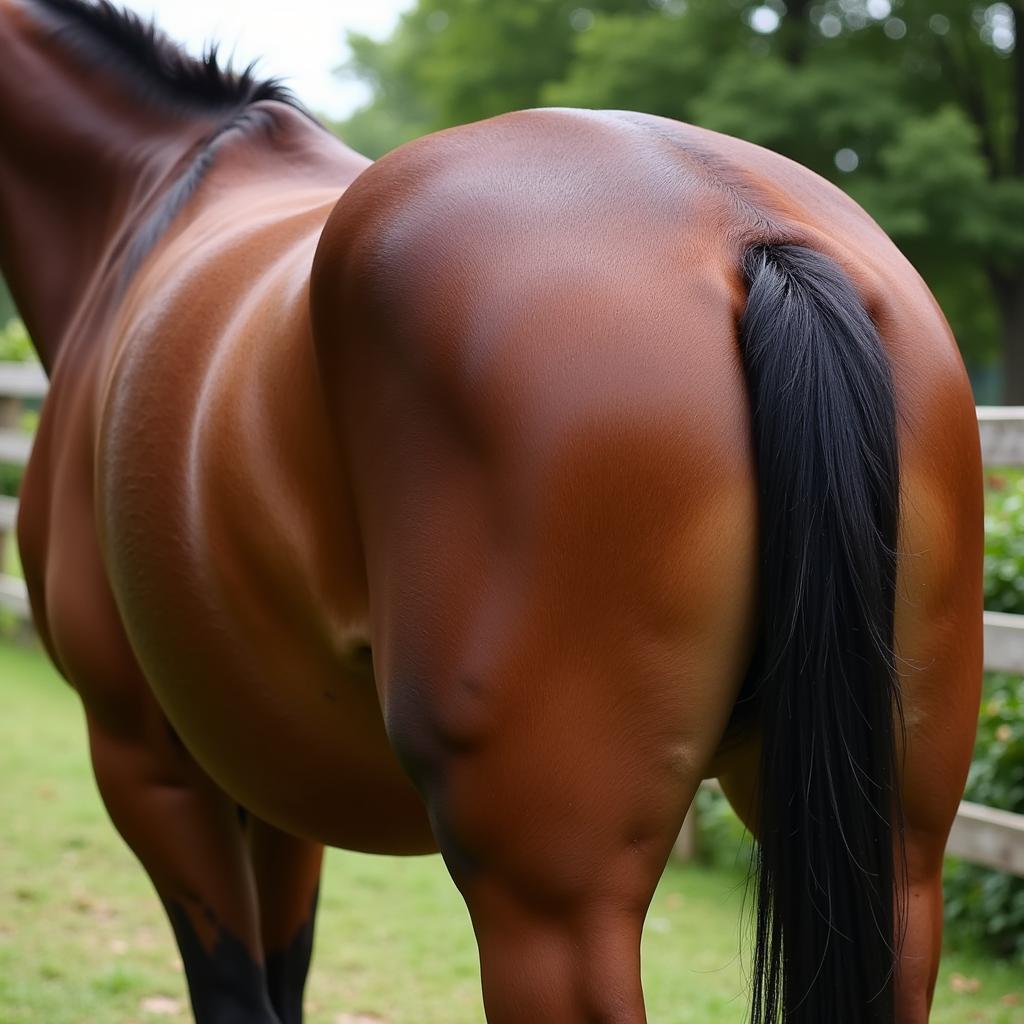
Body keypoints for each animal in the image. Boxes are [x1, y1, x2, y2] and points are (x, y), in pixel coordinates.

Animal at [0, 0, 983, 1019]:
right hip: (899, 859)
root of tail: (747, 232)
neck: (148, 205)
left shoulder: (150, 762)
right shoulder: (274, 777)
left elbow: (234, 990)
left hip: (548, 900)